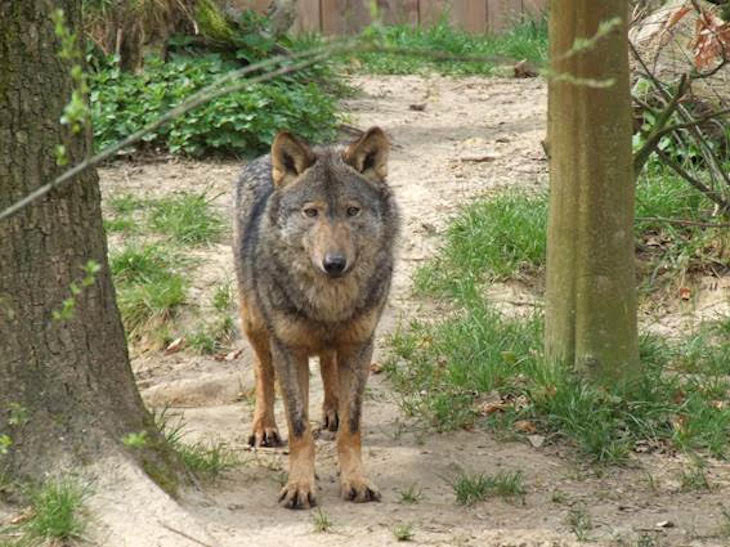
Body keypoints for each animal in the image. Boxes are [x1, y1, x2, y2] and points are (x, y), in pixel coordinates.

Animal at [233, 127, 399, 509]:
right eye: (311, 212)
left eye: (352, 210)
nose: (334, 263)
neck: (329, 303)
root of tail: (261, 158)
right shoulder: (288, 347)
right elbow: (299, 427)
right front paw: (299, 485)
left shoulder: (359, 344)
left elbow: (352, 427)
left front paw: (356, 480)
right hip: (254, 321)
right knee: (262, 371)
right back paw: (264, 427)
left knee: (327, 364)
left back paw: (331, 410)